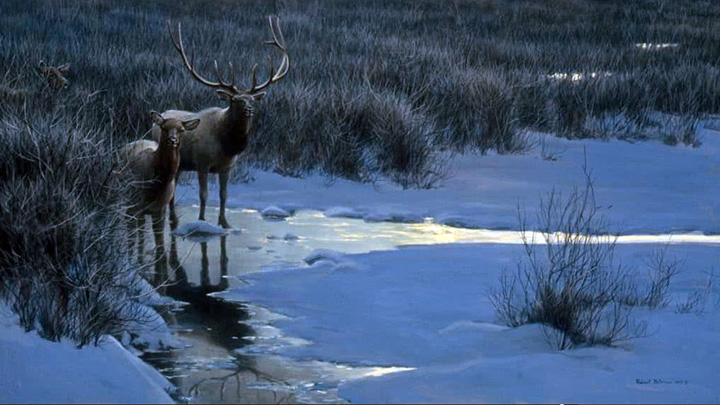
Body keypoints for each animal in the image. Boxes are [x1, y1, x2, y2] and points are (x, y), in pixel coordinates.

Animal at [120, 111, 200, 270]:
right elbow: (135, 236)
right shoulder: (135, 205)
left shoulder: (160, 208)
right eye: (164, 127)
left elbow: (160, 245)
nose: (172, 140)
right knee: (132, 229)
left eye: (182, 129)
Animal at [154, 16, 289, 229]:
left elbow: (224, 195)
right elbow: (203, 195)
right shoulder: (202, 163)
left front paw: (224, 223)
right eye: (235, 100)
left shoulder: (227, 168)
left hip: (181, 165)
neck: (227, 145)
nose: (250, 110)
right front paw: (202, 221)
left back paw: (174, 219)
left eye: (251, 99)